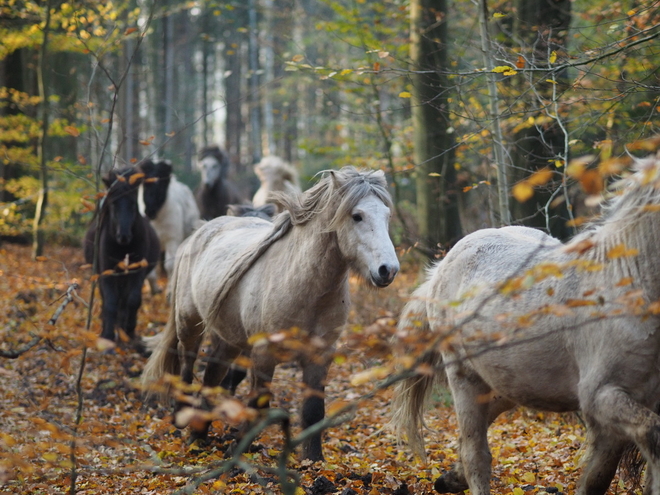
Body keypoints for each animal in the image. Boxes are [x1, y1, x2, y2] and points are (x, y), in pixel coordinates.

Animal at [84, 169, 161, 350]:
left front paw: (128, 331)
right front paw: (107, 336)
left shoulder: (138, 272)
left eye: (133, 204)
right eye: (113, 204)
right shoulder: (106, 272)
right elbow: (110, 302)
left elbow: (132, 300)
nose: (123, 236)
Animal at [142, 167, 400, 462]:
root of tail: (201, 231)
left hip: (229, 338)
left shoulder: (319, 355)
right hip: (190, 324)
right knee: (187, 366)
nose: (388, 270)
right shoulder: (264, 353)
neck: (305, 287)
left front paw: (314, 461)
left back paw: (199, 434)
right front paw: (238, 450)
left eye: (386, 215)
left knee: (213, 376)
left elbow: (314, 411)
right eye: (357, 216)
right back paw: (183, 421)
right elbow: (258, 404)